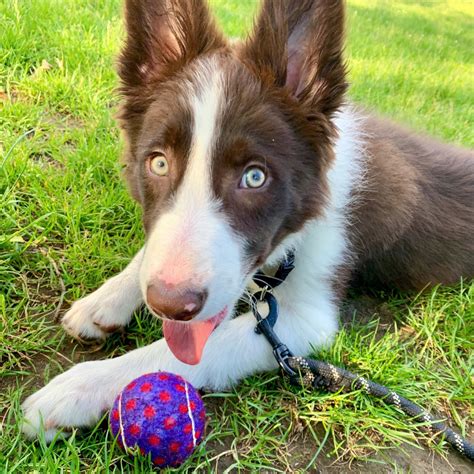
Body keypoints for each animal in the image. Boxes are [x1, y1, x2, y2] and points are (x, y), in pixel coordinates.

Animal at [20, 0, 472, 440]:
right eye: (159, 163)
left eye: (255, 177)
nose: (171, 306)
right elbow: (149, 255)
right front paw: (105, 299)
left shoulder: (306, 316)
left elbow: (196, 348)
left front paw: (79, 389)